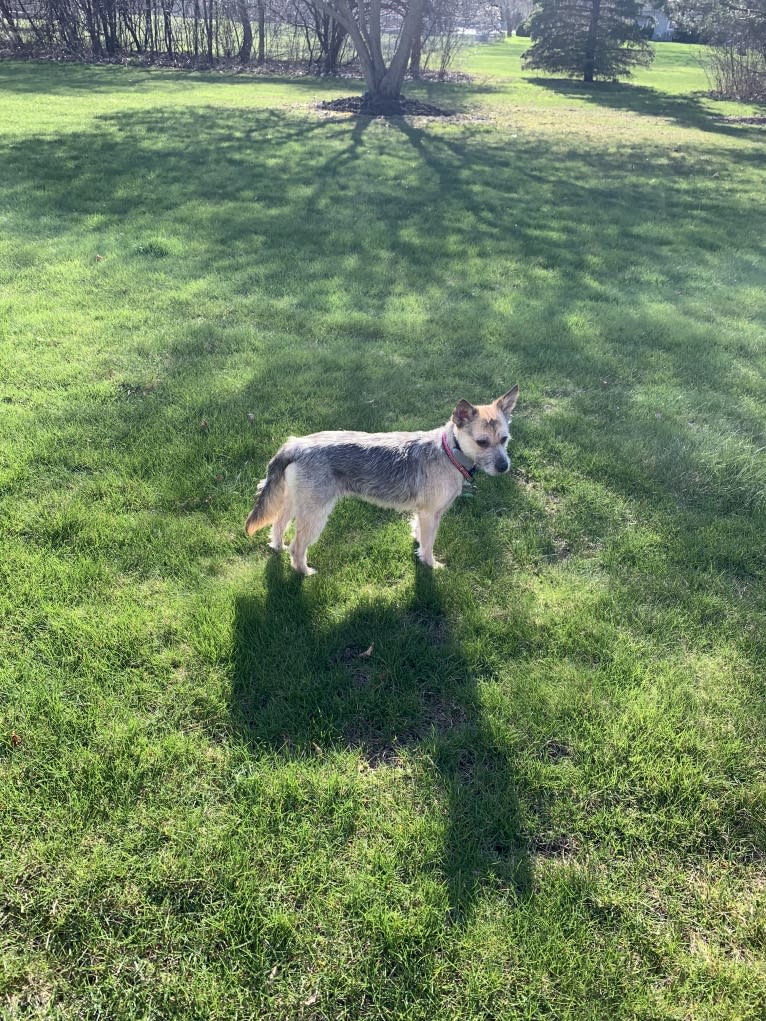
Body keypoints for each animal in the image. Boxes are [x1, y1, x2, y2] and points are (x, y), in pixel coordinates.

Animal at [246, 385, 522, 575]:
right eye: (482, 442)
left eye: (505, 439)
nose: (504, 466)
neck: (449, 451)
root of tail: (294, 445)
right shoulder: (431, 514)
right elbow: (430, 544)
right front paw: (431, 565)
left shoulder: (423, 513)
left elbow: (420, 535)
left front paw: (418, 549)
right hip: (315, 513)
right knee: (298, 547)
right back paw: (304, 572)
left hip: (295, 501)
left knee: (278, 525)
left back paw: (277, 547)